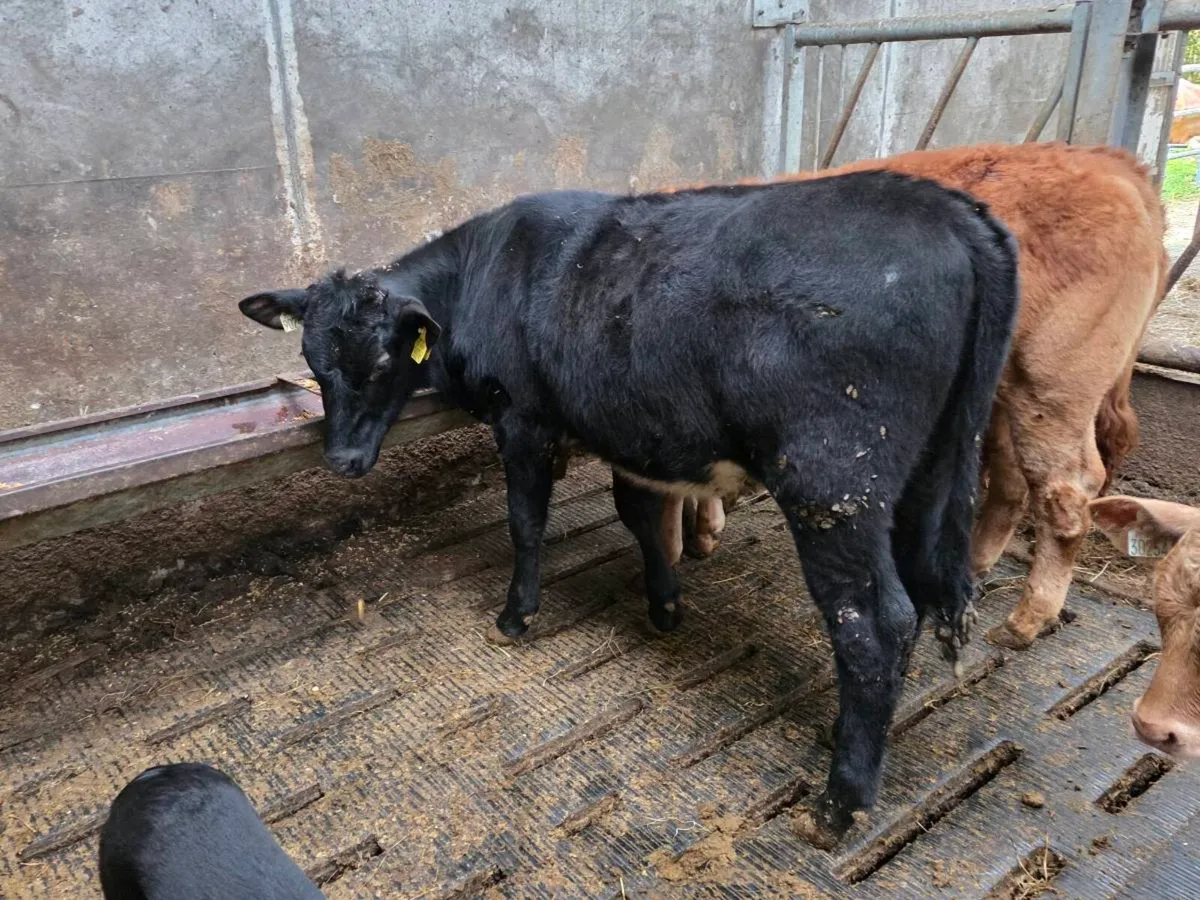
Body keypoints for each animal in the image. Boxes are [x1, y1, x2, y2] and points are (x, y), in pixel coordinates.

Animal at [238, 172, 1019, 848]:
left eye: (379, 363)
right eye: (313, 362)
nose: (342, 459)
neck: (485, 271)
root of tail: (949, 208)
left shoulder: (524, 419)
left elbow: (527, 521)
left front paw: (517, 615)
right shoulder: (629, 429)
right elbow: (640, 517)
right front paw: (664, 606)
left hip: (833, 483)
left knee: (874, 623)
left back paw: (839, 803)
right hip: (930, 470)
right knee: (917, 597)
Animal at [666, 143, 1167, 653]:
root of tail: (1114, 165)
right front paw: (704, 532)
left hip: (1052, 382)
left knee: (1065, 490)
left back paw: (1026, 619)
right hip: (1005, 394)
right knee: (1010, 481)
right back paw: (975, 570)